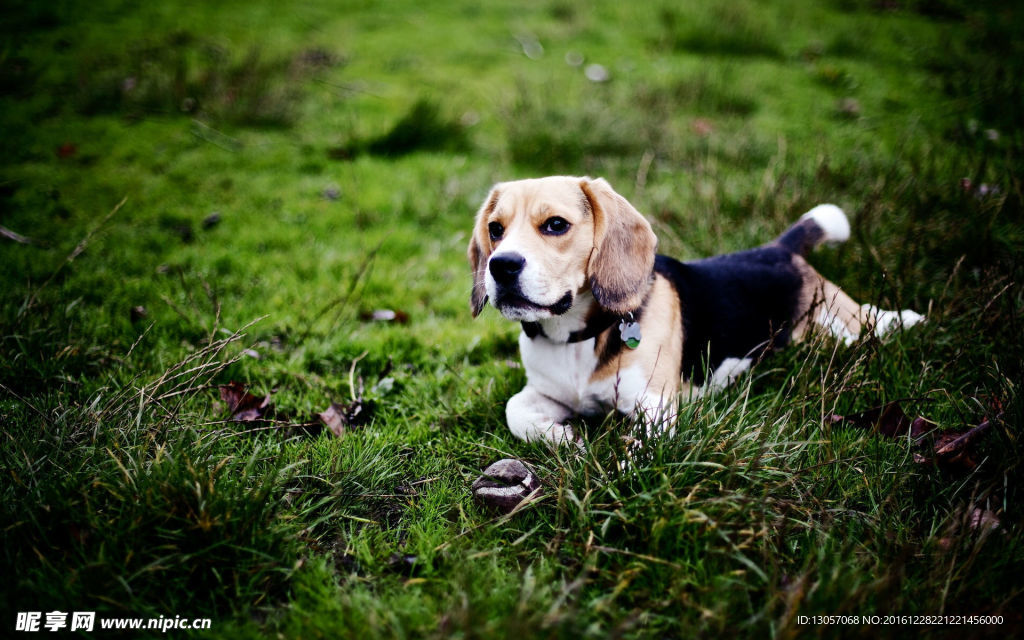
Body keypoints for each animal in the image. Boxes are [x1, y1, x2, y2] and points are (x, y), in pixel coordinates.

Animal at [468, 175, 925, 444]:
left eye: (556, 225)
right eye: (495, 229)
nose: (501, 266)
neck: (575, 337)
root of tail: (780, 248)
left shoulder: (655, 408)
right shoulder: (546, 392)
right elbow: (514, 411)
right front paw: (563, 437)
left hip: (841, 324)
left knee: (870, 320)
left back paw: (905, 319)